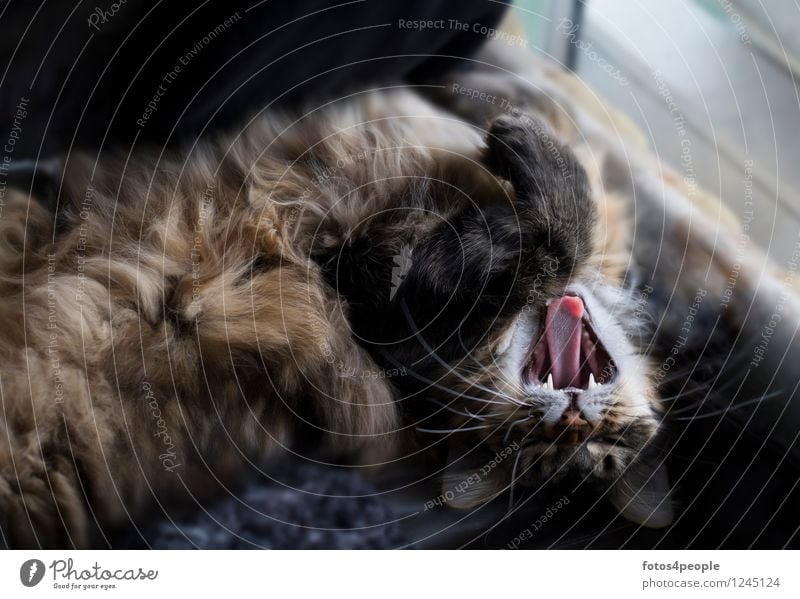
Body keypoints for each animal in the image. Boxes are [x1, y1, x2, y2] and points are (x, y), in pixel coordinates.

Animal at [0, 86, 668, 552]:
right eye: (605, 447)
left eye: (589, 453)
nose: (571, 419)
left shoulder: (385, 319)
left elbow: (550, 241)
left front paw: (529, 157)